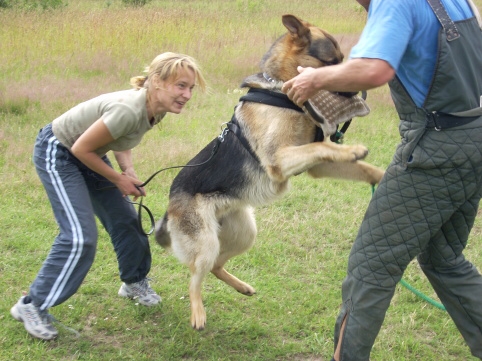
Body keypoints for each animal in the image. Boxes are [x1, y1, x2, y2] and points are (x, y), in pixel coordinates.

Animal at [154, 14, 384, 330]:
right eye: (331, 62)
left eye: (342, 61)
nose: (359, 90)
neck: (281, 89)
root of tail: (168, 208)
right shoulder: (280, 159)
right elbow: (323, 147)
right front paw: (353, 150)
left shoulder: (315, 164)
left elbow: (350, 163)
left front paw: (381, 175)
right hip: (206, 242)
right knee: (194, 278)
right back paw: (198, 313)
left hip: (244, 233)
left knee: (216, 267)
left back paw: (242, 287)